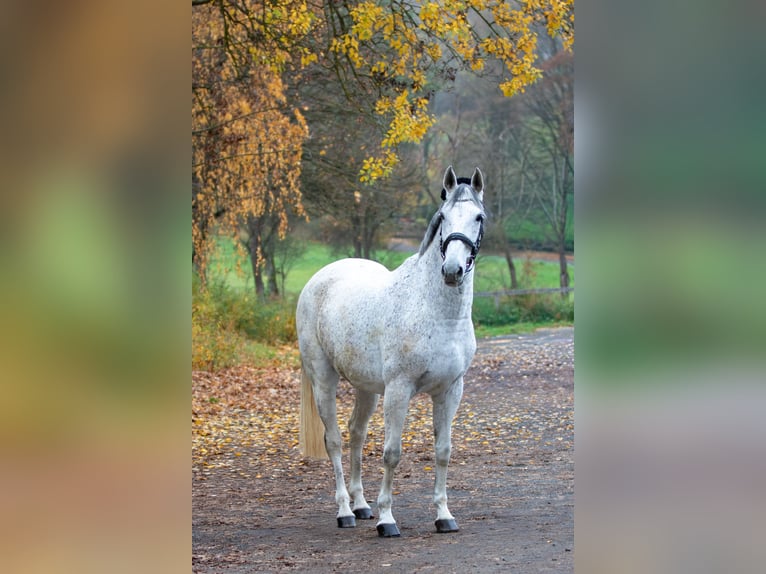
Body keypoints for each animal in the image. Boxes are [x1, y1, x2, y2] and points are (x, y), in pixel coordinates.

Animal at [296, 165, 485, 537]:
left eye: (478, 217)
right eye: (443, 217)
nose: (452, 271)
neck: (436, 312)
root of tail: (318, 279)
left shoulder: (450, 391)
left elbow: (443, 451)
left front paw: (444, 516)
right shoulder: (399, 390)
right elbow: (392, 453)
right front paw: (388, 520)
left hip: (366, 388)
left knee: (356, 434)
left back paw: (361, 505)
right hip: (324, 380)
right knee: (334, 440)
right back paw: (346, 512)